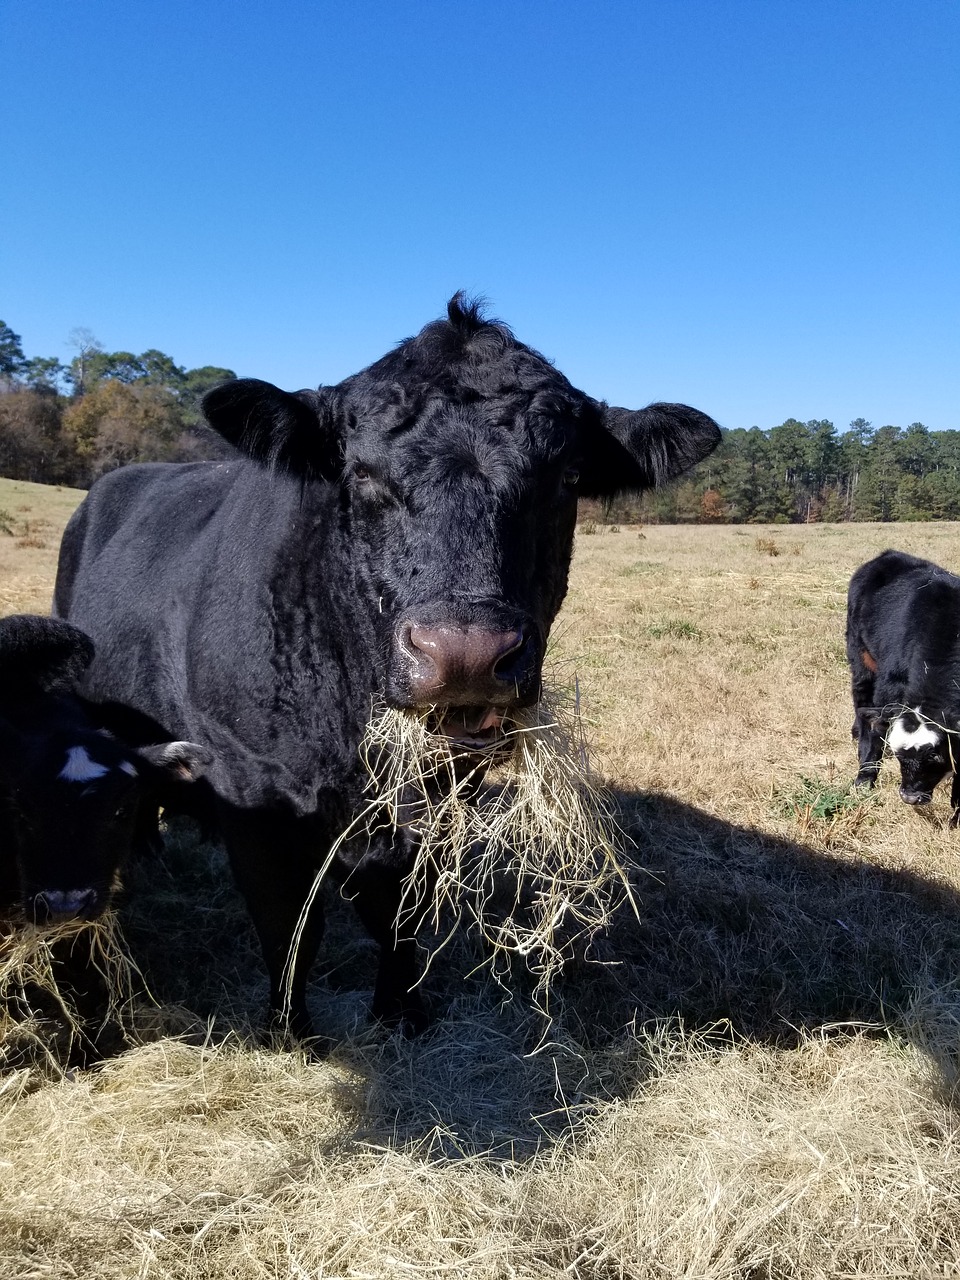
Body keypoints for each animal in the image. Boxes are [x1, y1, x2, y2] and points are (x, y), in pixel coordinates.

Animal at [54, 294, 721, 1044]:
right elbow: (289, 927)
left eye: (567, 478)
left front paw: (402, 1012)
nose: (465, 654)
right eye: (363, 474)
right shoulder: (251, 791)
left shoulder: (437, 797)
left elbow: (400, 914)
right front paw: (290, 1031)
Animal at [855, 545, 960, 814]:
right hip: (861, 661)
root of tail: (890, 555)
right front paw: (864, 779)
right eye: (899, 755)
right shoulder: (887, 691)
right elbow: (877, 730)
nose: (910, 797)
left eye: (936, 756)